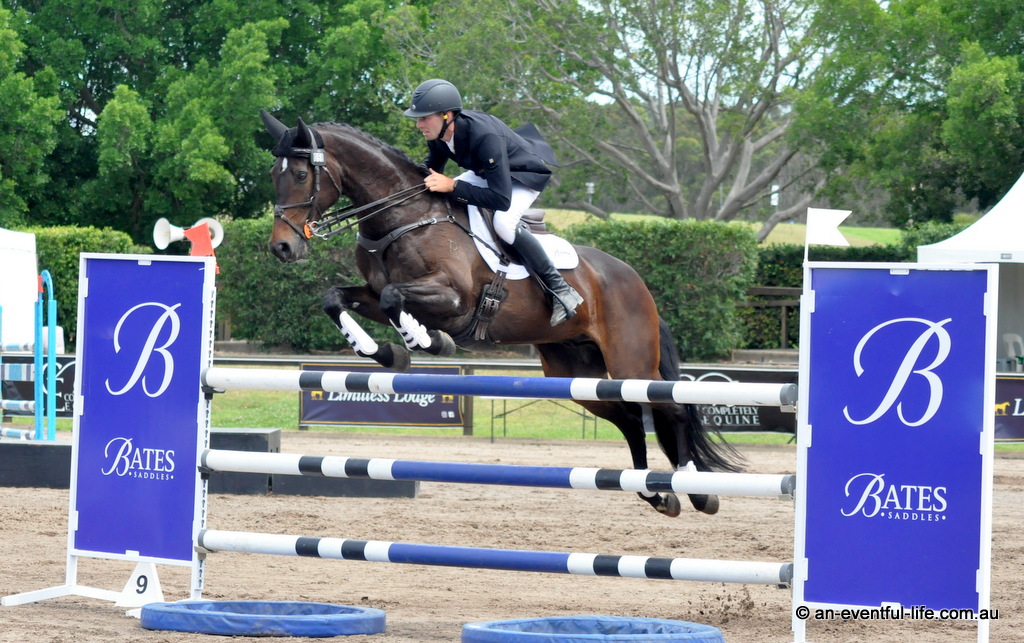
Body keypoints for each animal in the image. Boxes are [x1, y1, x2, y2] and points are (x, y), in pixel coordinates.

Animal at [259, 110, 742, 517]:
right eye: (271, 175)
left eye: (300, 174)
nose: (282, 248)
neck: (404, 215)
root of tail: (636, 280)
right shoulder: (372, 295)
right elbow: (336, 299)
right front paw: (385, 353)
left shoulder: (452, 300)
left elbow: (400, 300)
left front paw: (427, 342)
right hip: (578, 372)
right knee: (628, 419)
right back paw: (656, 493)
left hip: (631, 361)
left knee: (670, 409)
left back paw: (697, 491)